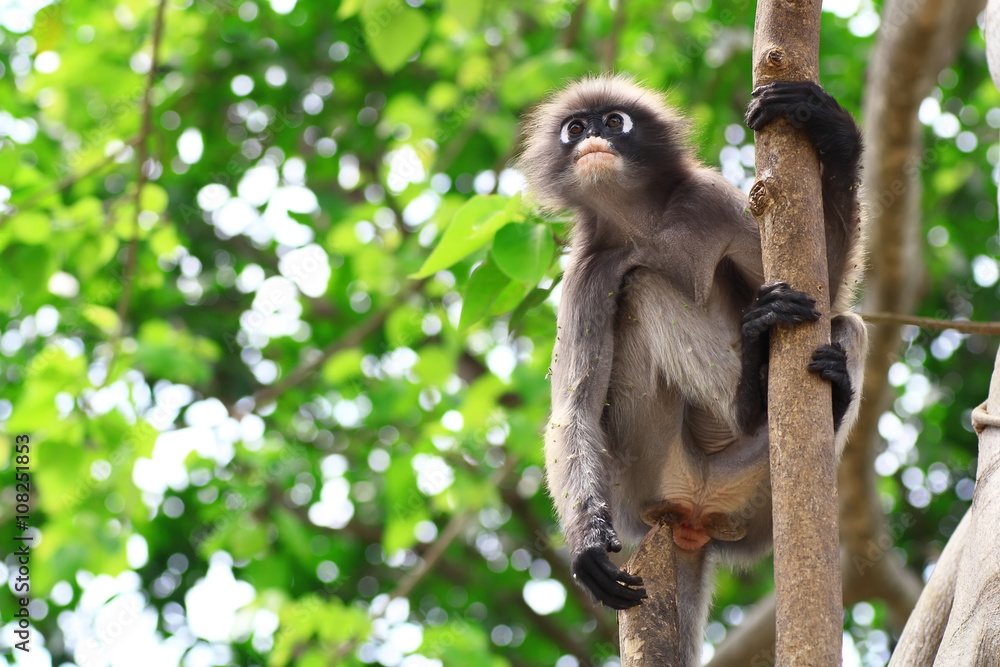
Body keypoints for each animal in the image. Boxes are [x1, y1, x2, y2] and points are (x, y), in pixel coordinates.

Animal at [518, 74, 867, 664]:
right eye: (575, 127)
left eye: (614, 121)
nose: (591, 138)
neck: (643, 224)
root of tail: (692, 516)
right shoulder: (587, 270)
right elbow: (573, 410)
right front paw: (588, 549)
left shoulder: (710, 199)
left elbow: (827, 294)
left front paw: (829, 127)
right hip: (645, 469)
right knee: (639, 286)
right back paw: (750, 392)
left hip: (747, 498)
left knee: (850, 326)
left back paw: (801, 394)